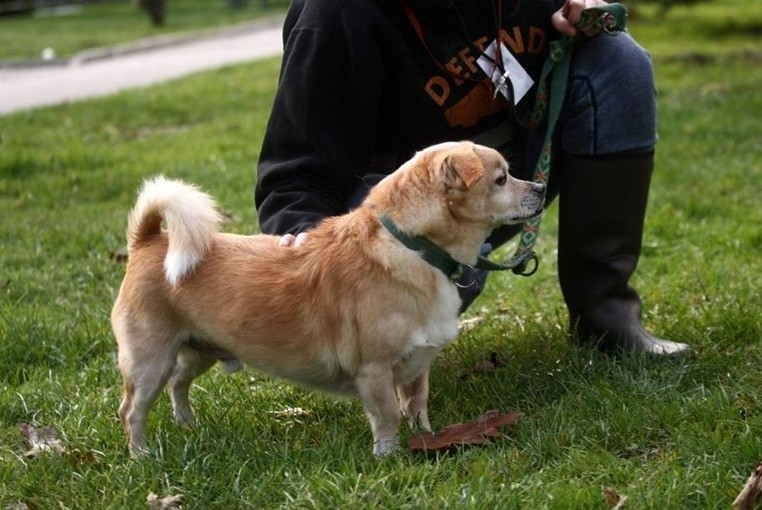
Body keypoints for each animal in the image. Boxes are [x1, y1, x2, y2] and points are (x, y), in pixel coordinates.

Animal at [110, 141, 544, 456]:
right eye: (502, 178)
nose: (540, 187)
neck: (414, 247)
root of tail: (150, 240)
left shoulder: (416, 365)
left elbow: (416, 403)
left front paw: (428, 437)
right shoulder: (374, 371)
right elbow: (388, 415)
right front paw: (389, 455)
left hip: (196, 350)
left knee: (178, 384)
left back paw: (187, 425)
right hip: (151, 360)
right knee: (131, 410)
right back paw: (142, 455)